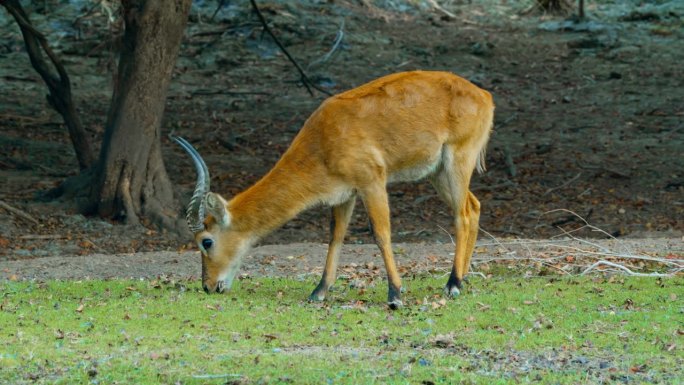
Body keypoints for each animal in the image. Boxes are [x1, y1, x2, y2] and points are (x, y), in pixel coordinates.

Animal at [174, 70, 494, 308]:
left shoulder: (372, 181)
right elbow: (335, 237)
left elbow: (381, 233)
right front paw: (319, 291)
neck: (324, 138)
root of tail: (484, 95)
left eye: (206, 241)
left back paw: (453, 284)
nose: (208, 286)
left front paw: (395, 294)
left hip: (456, 163)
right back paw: (461, 280)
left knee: (462, 215)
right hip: (437, 174)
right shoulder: (345, 194)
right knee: (475, 206)